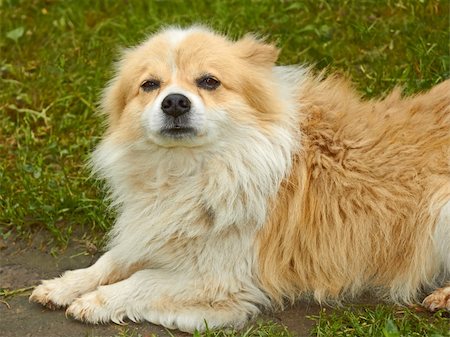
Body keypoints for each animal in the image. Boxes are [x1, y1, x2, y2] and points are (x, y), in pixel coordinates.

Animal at [29, 26, 448, 330]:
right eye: (150, 85)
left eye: (209, 81)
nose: (175, 102)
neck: (197, 168)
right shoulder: (157, 230)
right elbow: (111, 260)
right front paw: (64, 286)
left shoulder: (221, 278)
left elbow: (142, 280)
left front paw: (96, 302)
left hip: (439, 209)